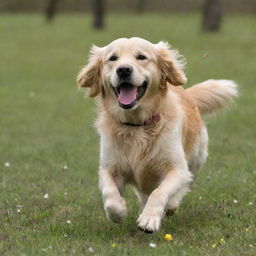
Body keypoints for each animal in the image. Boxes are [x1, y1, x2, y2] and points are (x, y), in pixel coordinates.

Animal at [76, 37, 238, 232]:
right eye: (112, 58)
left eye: (141, 57)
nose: (123, 70)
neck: (137, 125)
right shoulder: (109, 167)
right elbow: (109, 192)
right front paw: (118, 211)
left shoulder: (176, 168)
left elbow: (160, 192)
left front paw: (149, 219)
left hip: (196, 159)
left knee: (185, 184)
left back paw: (171, 205)